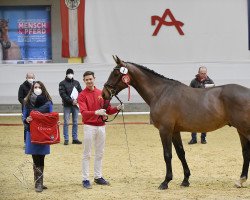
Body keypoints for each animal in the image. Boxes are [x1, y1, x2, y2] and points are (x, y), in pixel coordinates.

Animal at [101, 55, 250, 189]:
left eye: (115, 73)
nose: (104, 94)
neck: (161, 93)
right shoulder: (174, 131)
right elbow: (180, 153)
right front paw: (185, 180)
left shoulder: (164, 130)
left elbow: (167, 155)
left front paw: (165, 182)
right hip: (241, 130)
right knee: (245, 152)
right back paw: (240, 180)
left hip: (244, 129)